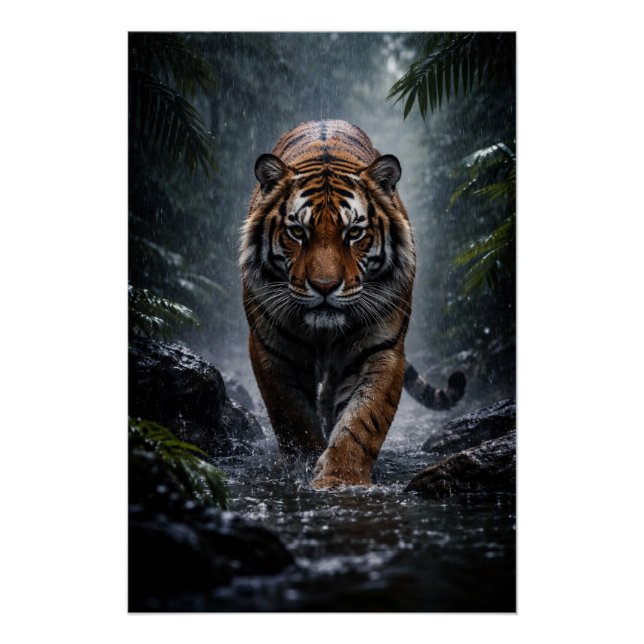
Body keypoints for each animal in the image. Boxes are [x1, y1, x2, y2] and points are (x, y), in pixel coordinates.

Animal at [240, 120, 465, 489]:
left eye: (354, 233)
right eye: (297, 232)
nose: (325, 286)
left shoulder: (381, 348)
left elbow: (362, 421)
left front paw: (340, 478)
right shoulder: (271, 348)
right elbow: (293, 416)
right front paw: (304, 463)